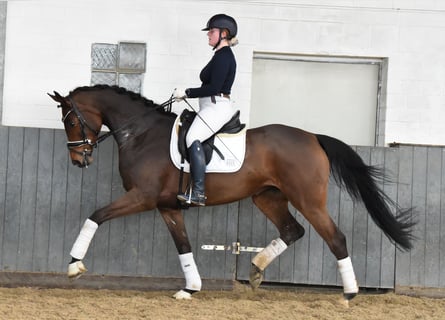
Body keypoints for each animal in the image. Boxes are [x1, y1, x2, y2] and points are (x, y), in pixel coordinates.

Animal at [50, 84, 414, 302]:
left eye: (71, 121)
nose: (79, 159)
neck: (141, 133)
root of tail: (312, 137)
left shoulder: (142, 197)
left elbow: (95, 216)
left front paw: (74, 264)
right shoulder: (168, 206)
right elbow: (183, 245)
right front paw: (190, 288)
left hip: (308, 200)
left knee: (334, 237)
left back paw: (348, 294)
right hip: (267, 196)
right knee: (292, 230)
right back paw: (255, 270)